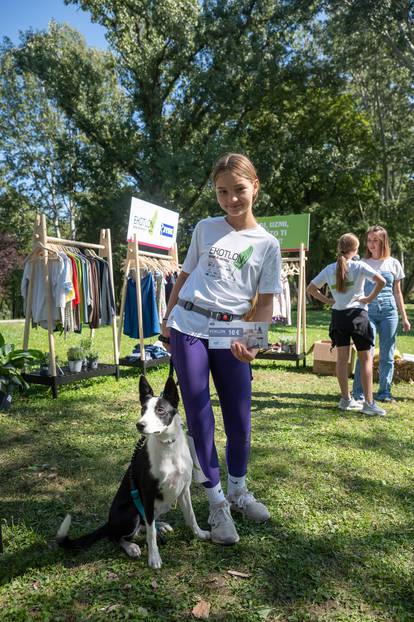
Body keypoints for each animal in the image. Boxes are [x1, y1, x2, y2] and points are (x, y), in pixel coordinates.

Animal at [55, 376, 210, 572]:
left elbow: (191, 516)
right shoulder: (148, 493)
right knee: (118, 536)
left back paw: (160, 526)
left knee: (144, 525)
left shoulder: (183, 489)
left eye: (160, 410)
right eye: (143, 409)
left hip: (161, 505)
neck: (168, 447)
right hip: (131, 511)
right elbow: (151, 534)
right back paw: (131, 547)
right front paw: (154, 557)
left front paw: (200, 534)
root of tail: (109, 523)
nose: (140, 425)